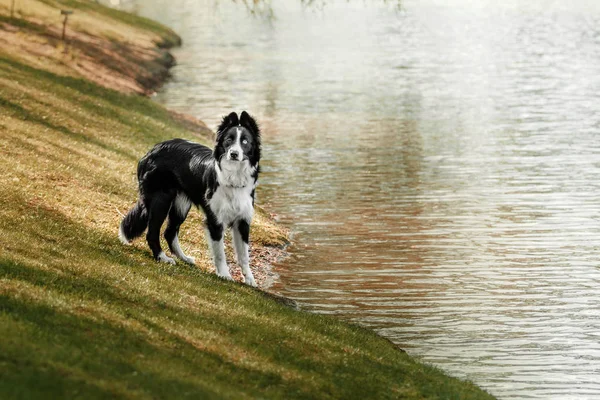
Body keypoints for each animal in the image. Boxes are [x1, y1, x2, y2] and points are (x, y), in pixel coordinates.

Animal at [119, 111, 260, 286]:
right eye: (229, 140)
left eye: (245, 142)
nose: (234, 154)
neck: (234, 177)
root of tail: (153, 149)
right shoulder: (215, 221)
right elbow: (220, 253)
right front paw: (224, 274)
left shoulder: (243, 220)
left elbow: (244, 255)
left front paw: (250, 280)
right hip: (161, 200)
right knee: (152, 233)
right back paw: (162, 258)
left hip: (180, 205)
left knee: (170, 232)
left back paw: (184, 258)